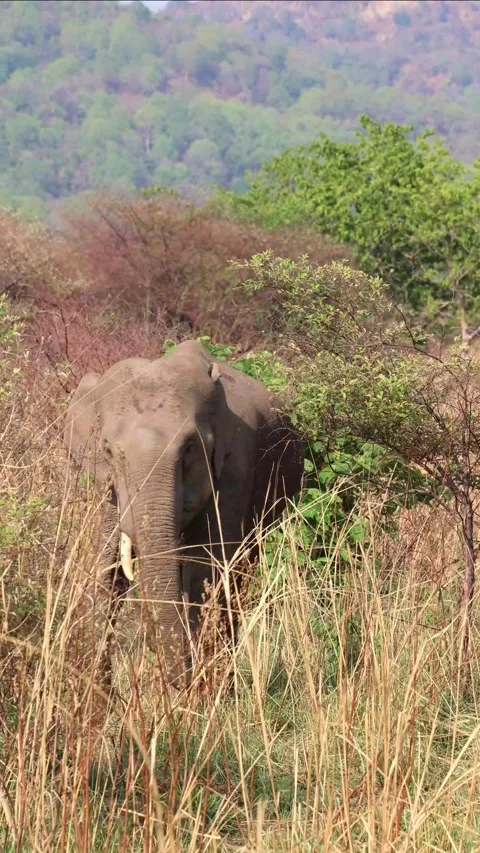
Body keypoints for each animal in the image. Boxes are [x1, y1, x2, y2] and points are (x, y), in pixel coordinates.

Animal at [64, 340, 303, 686]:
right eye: (107, 449)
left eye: (190, 448)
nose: (178, 680)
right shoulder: (108, 489)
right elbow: (106, 566)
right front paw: (97, 692)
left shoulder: (236, 465)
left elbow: (205, 570)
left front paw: (200, 692)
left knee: (239, 577)